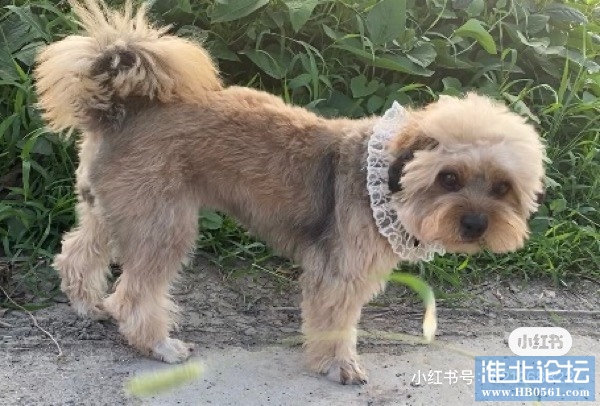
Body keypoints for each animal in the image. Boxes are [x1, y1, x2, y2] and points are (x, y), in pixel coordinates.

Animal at [35, 0, 546, 385]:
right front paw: (338, 366)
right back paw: (159, 345)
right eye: (449, 178)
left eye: (502, 186)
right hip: (163, 225)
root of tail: (122, 108)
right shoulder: (339, 273)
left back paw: (86, 305)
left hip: (110, 211)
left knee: (76, 255)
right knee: (132, 296)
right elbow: (334, 323)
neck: (383, 181)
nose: (476, 224)